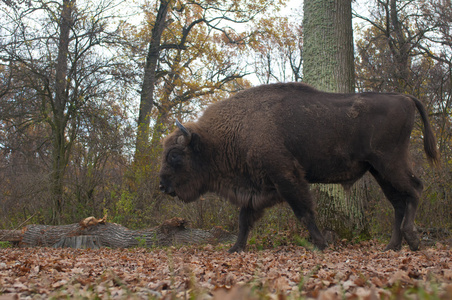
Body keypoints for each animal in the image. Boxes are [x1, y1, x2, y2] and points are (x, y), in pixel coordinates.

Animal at [159, 82, 438, 253]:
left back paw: (412, 240)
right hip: (378, 170)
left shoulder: (287, 177)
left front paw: (322, 244)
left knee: (415, 189)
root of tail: (404, 97)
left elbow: (304, 212)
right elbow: (244, 220)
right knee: (398, 202)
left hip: (389, 162)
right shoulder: (259, 190)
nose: (162, 186)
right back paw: (392, 246)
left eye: (174, 155)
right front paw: (235, 248)